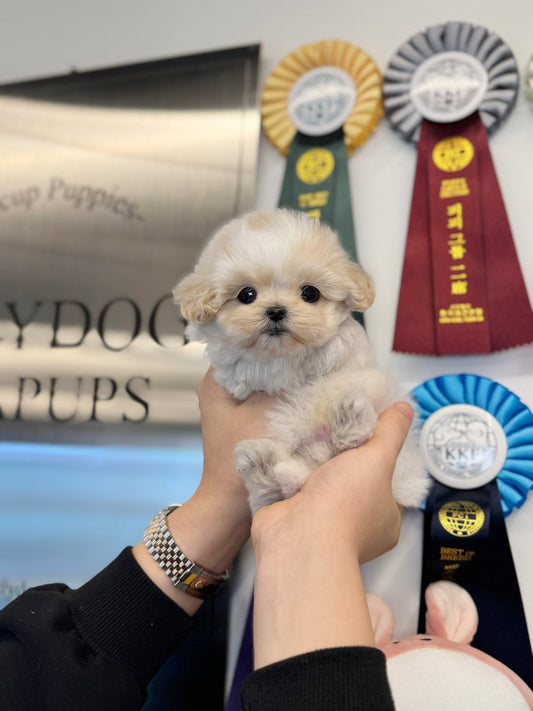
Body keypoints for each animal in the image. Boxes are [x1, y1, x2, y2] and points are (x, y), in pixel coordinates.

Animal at [175, 209, 428, 516]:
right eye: (246, 294)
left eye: (310, 293)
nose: (276, 311)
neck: (282, 355)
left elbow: (337, 345)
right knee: (282, 488)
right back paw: (263, 467)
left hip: (396, 458)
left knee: (344, 448)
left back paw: (348, 420)